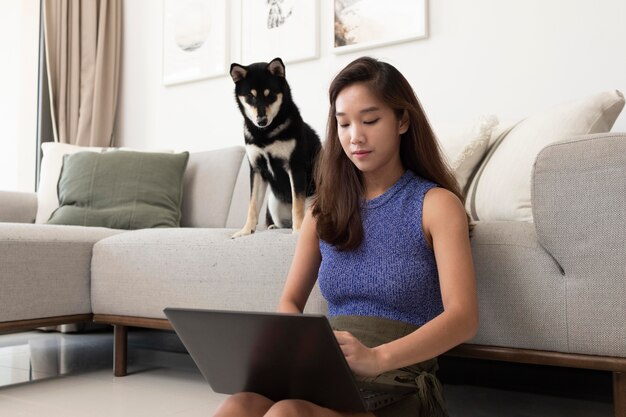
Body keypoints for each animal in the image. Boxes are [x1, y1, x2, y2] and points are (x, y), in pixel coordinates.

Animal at [228, 57, 320, 237]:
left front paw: (298, 231)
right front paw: (246, 230)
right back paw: (275, 227)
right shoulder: (256, 169)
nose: (261, 121)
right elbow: (252, 205)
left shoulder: (295, 166)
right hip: (273, 201)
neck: (265, 134)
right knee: (283, 223)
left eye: (269, 94)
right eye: (250, 96)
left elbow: (297, 205)